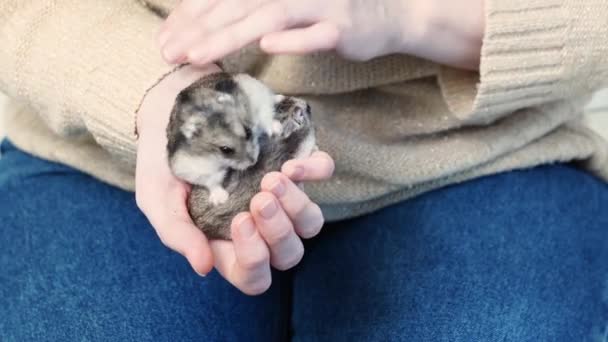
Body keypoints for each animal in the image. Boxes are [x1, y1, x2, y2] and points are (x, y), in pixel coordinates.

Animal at [166, 72, 280, 204]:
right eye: (225, 150)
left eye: (248, 132)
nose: (253, 161)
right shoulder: (193, 168)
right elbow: (212, 182)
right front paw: (221, 199)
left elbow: (266, 118)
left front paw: (278, 130)